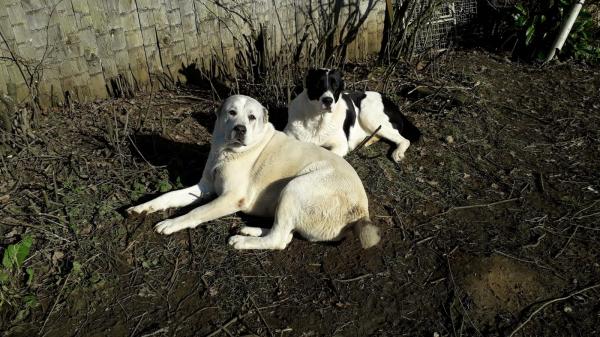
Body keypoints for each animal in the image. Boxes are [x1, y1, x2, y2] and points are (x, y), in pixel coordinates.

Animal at [127, 94, 380, 249]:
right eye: (231, 112)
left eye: (251, 117)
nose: (240, 129)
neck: (227, 151)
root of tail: (362, 212)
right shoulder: (204, 187)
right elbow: (167, 196)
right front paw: (141, 208)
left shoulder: (230, 198)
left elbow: (196, 212)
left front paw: (172, 223)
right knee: (285, 233)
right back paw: (251, 230)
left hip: (295, 186)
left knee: (280, 239)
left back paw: (242, 241)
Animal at [286, 67, 422, 162]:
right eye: (318, 85)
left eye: (335, 86)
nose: (328, 101)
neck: (319, 119)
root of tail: (387, 99)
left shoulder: (341, 145)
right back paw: (366, 141)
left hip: (368, 113)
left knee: (404, 139)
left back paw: (397, 152)